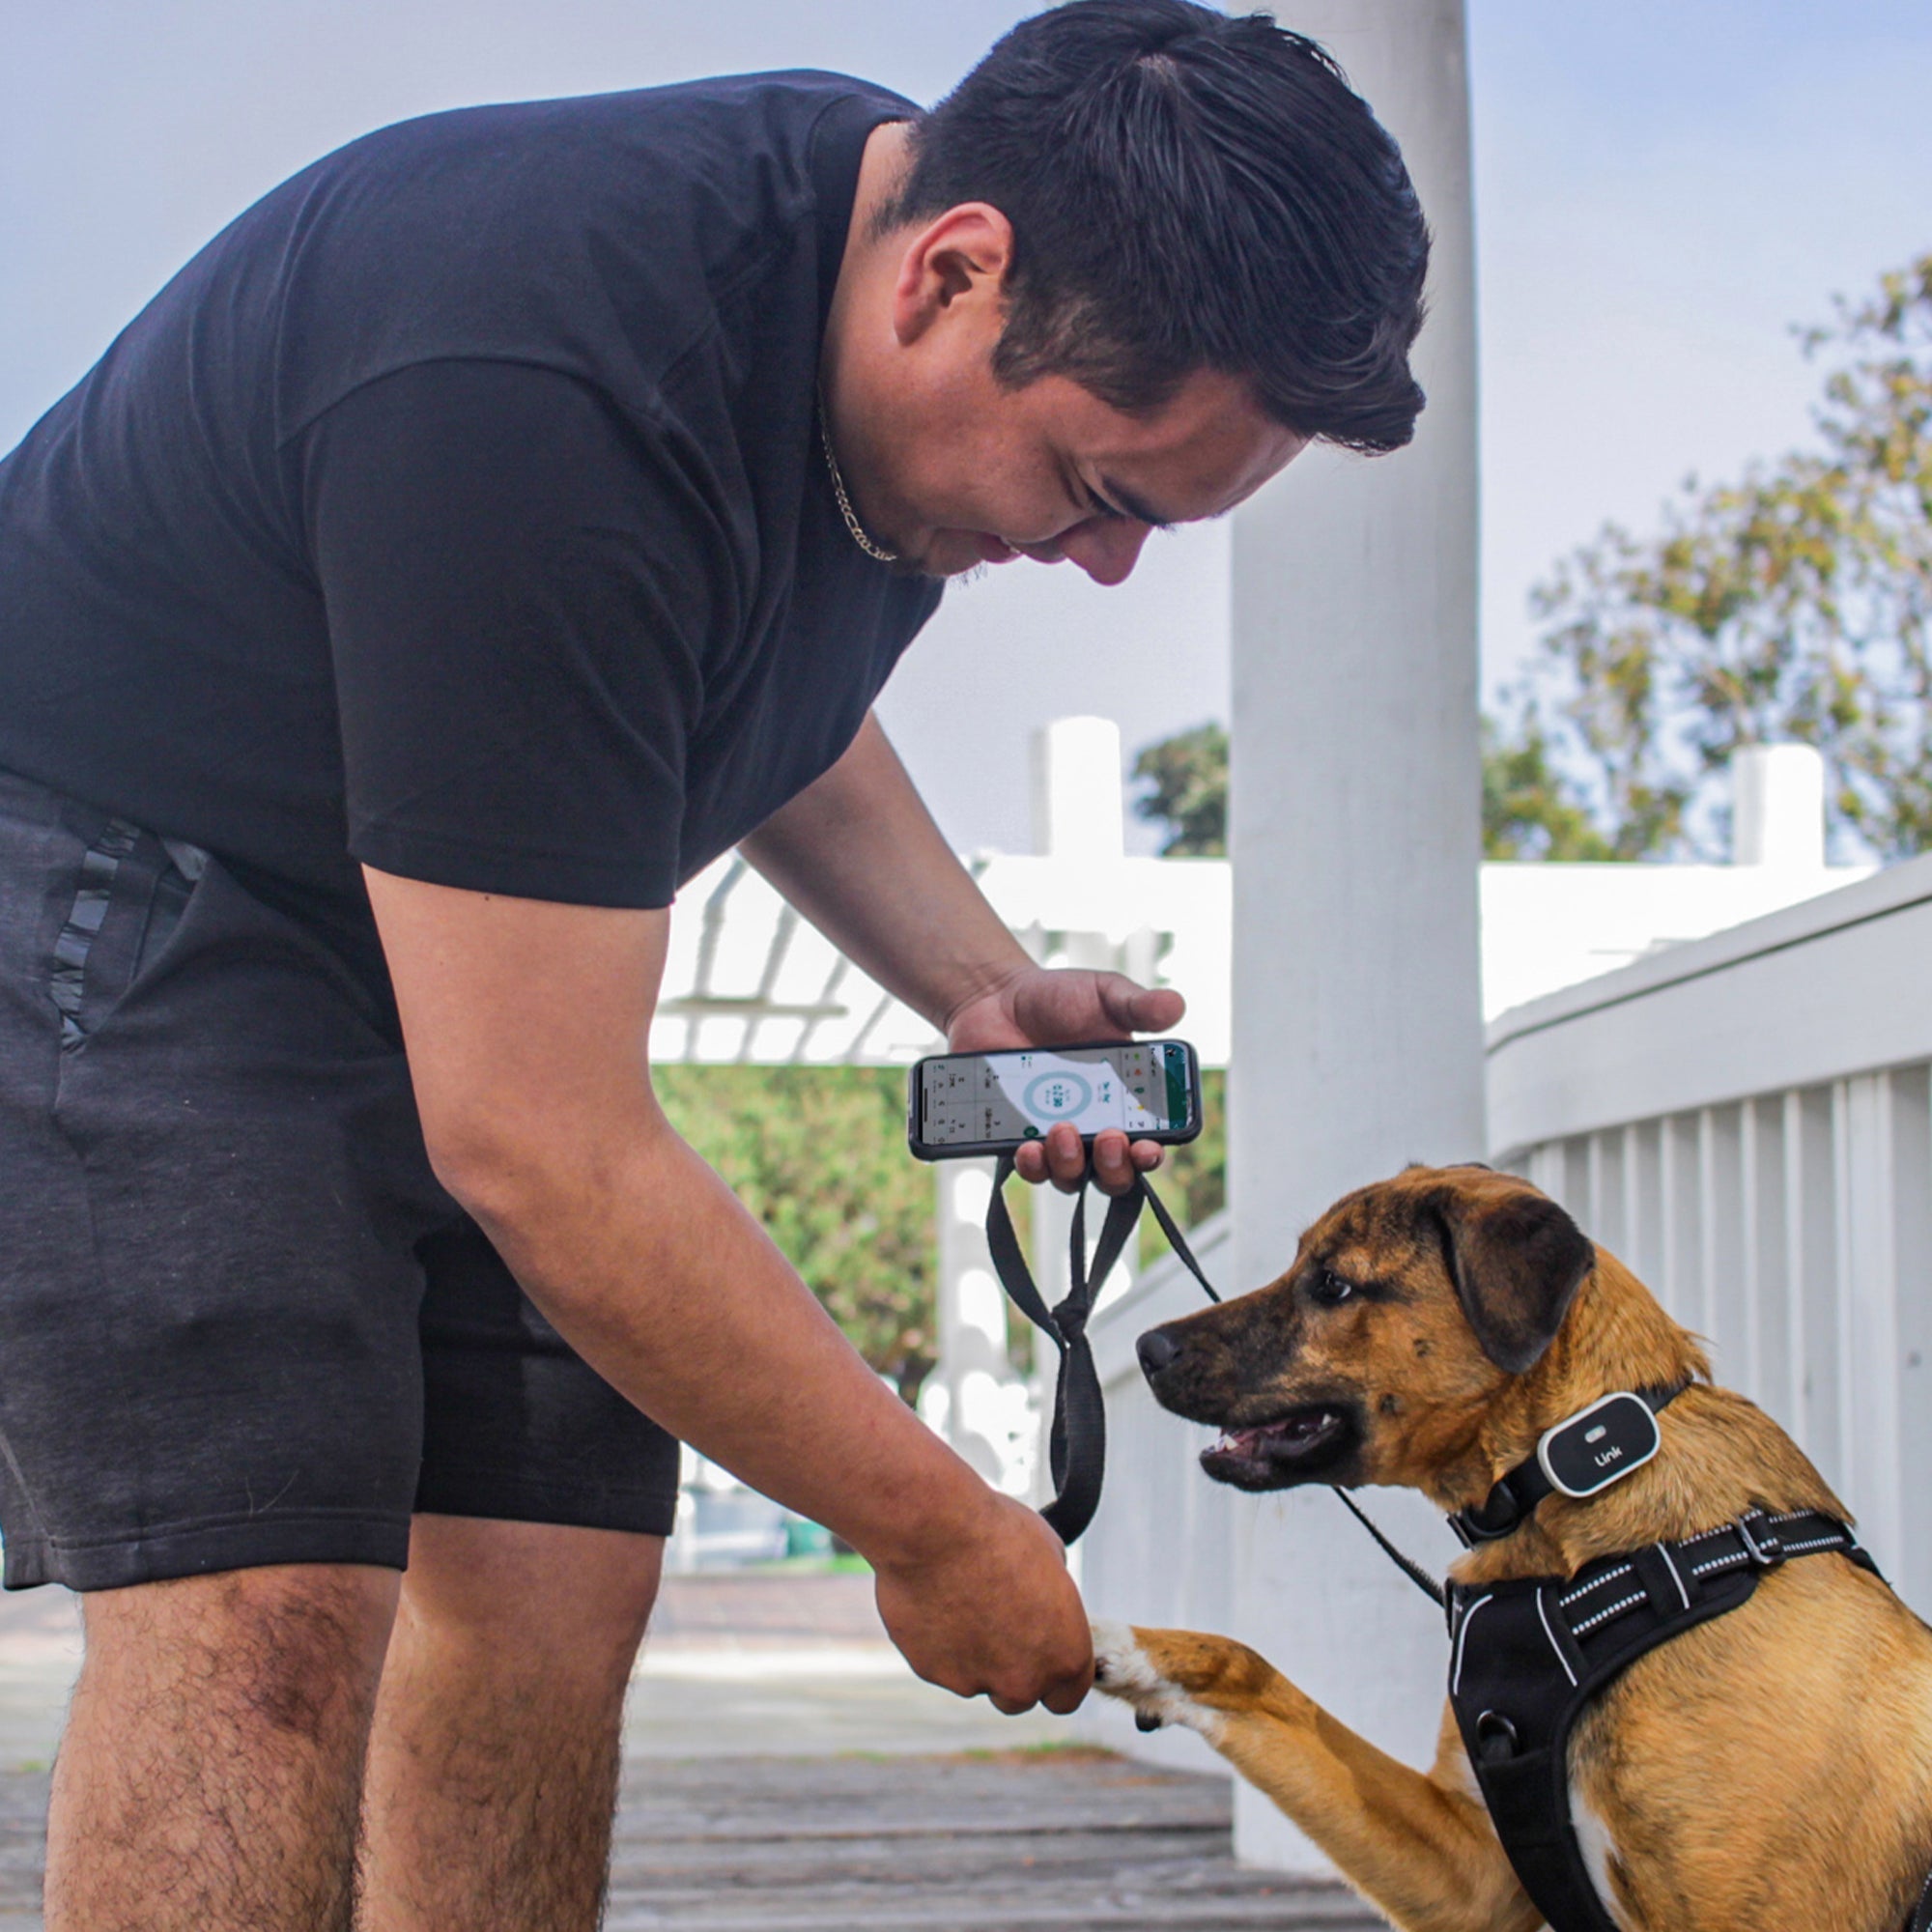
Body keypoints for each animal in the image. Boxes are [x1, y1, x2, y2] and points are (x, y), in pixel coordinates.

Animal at [1090, 1159, 1932, 1932]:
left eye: (1331, 1284)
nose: (1147, 1347)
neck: (1559, 1498)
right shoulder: (1473, 1875)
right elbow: (1255, 1672)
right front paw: (1114, 1645)